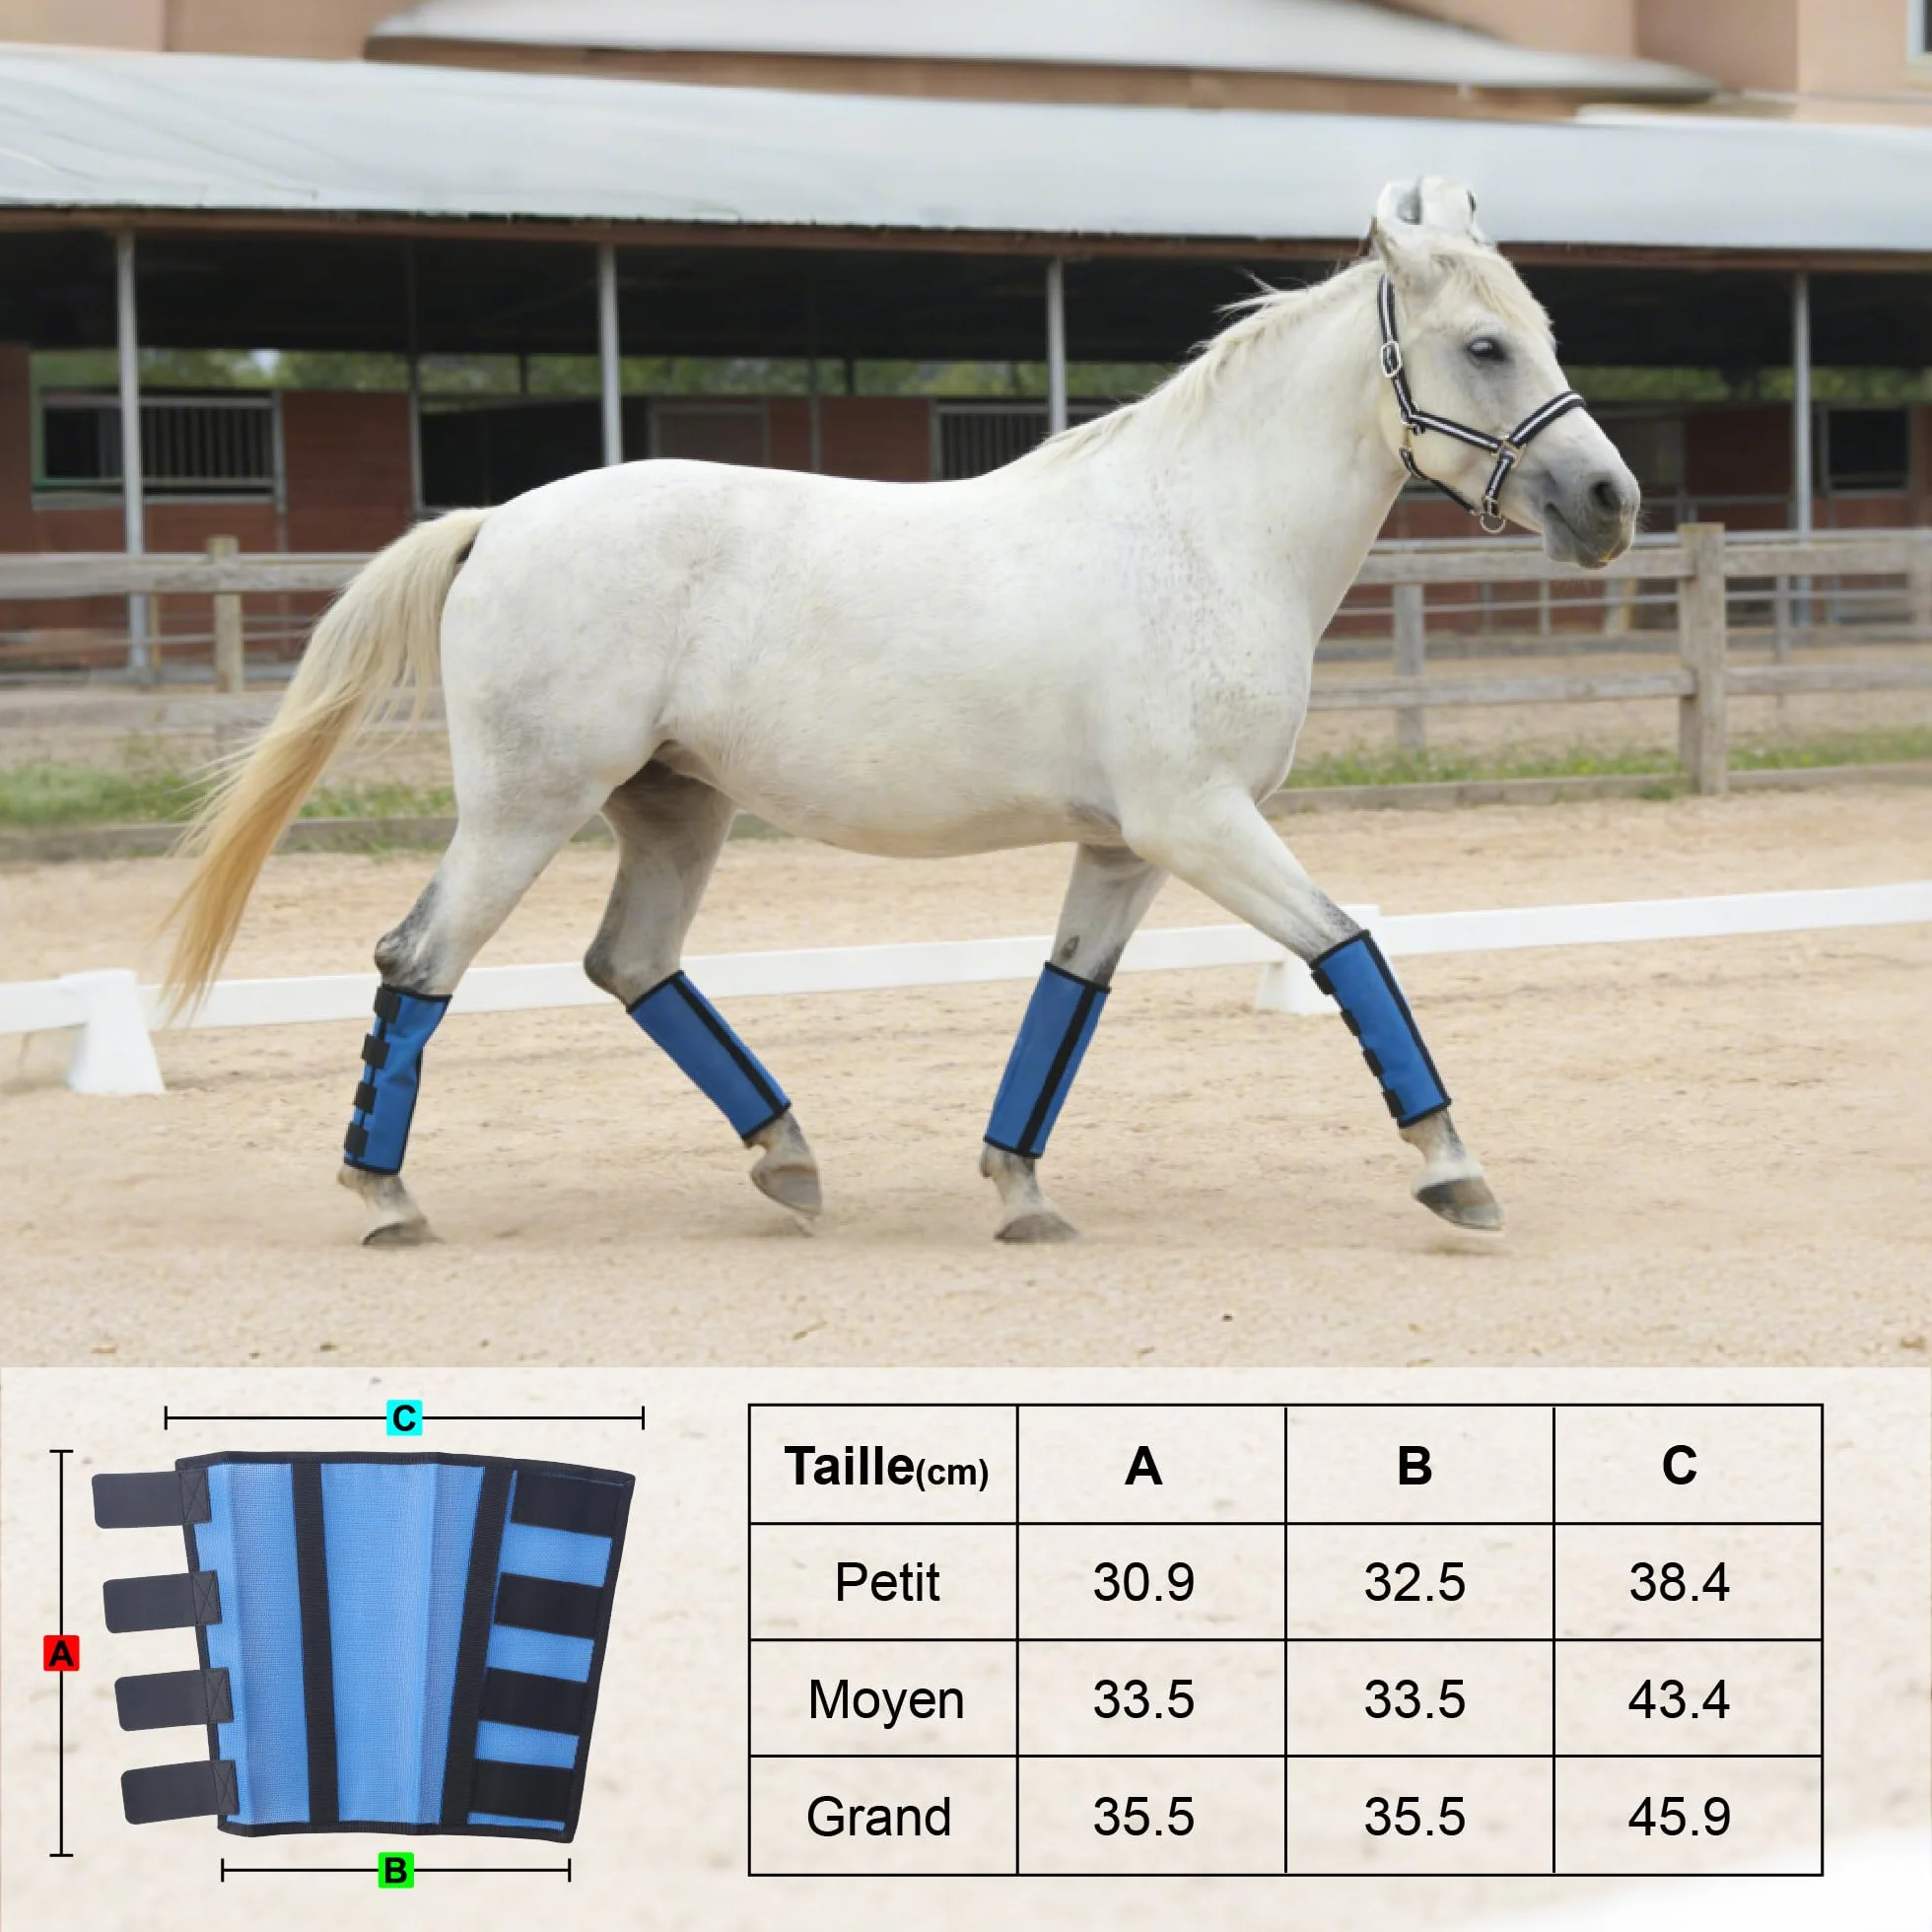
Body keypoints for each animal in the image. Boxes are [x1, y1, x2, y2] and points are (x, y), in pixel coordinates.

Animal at [165, 177, 1639, 1248]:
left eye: (1546, 335)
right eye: (1485, 346)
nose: (1610, 502)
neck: (1202, 535)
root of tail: (498, 522)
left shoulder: (1125, 847)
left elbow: (1066, 1002)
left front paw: (1019, 1191)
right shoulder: (1199, 824)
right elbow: (1349, 951)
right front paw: (1454, 1170)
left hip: (673, 810)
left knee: (628, 964)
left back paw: (789, 1160)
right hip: (525, 810)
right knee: (418, 963)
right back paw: (387, 1196)